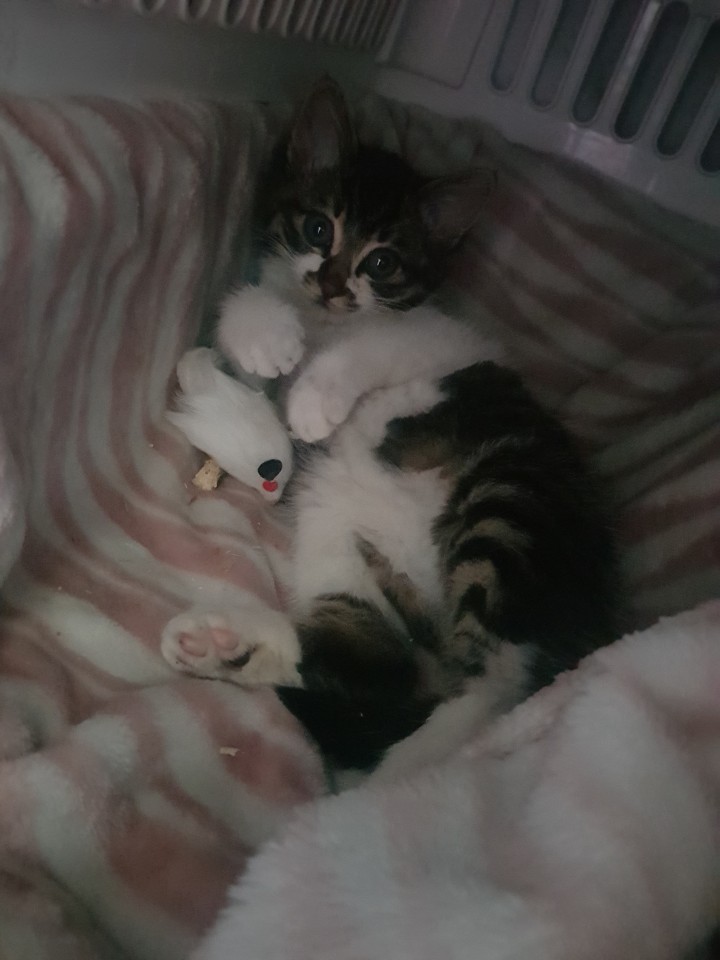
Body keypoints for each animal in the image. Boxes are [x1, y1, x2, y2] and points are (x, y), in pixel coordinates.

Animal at [161, 78, 622, 778]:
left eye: (381, 262)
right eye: (317, 228)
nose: (331, 286)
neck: (324, 323)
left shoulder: (439, 339)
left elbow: (377, 342)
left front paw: (317, 396)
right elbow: (248, 335)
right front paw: (267, 336)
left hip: (512, 499)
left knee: (496, 681)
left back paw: (413, 772)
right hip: (340, 549)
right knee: (377, 669)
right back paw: (224, 642)